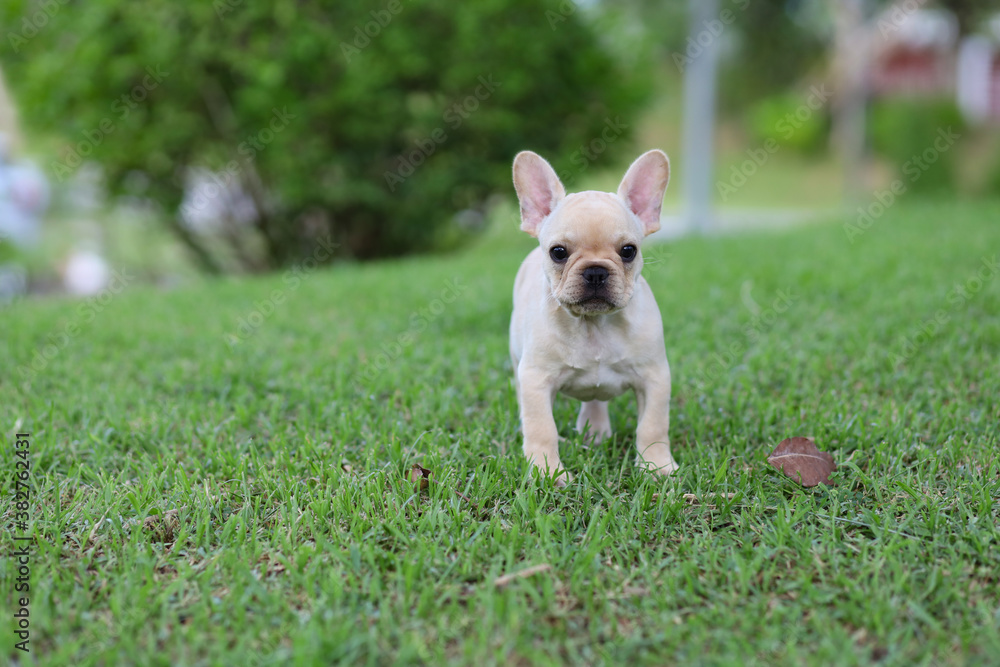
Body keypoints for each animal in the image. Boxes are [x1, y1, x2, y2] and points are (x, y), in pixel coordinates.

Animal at [512, 150, 676, 486]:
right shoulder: (535, 379)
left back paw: (596, 432)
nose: (596, 271)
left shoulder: (654, 377)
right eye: (558, 252)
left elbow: (653, 425)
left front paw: (656, 466)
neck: (594, 325)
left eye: (628, 250)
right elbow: (541, 428)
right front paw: (548, 472)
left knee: (596, 401)